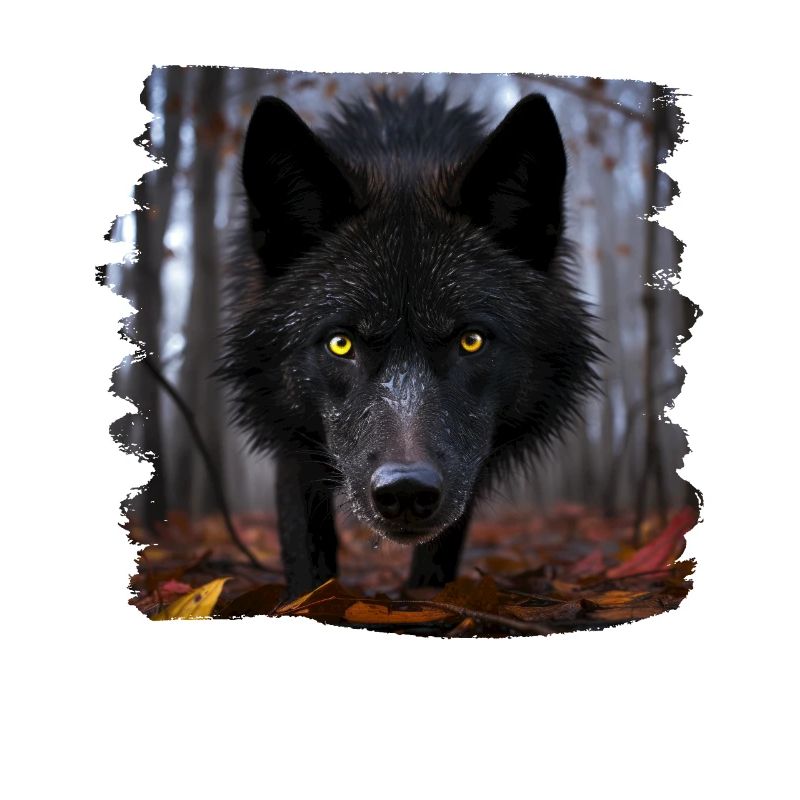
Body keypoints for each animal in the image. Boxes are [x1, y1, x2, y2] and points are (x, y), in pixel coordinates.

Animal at [219, 87, 599, 597]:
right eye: (340, 344)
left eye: (471, 341)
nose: (405, 490)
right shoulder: (292, 438)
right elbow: (305, 546)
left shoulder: (467, 463)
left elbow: (440, 550)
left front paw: (427, 602)